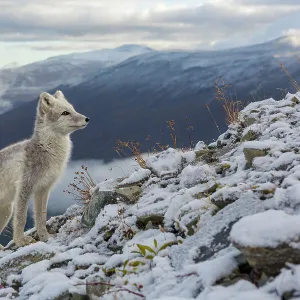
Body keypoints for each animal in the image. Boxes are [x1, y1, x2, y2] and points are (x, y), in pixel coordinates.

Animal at [0, 91, 89, 248]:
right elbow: (21, 218)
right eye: (65, 113)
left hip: (6, 211)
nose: (87, 119)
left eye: (72, 109)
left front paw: (45, 237)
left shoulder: (43, 190)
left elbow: (41, 217)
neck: (47, 150)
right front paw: (21, 241)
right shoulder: (24, 188)